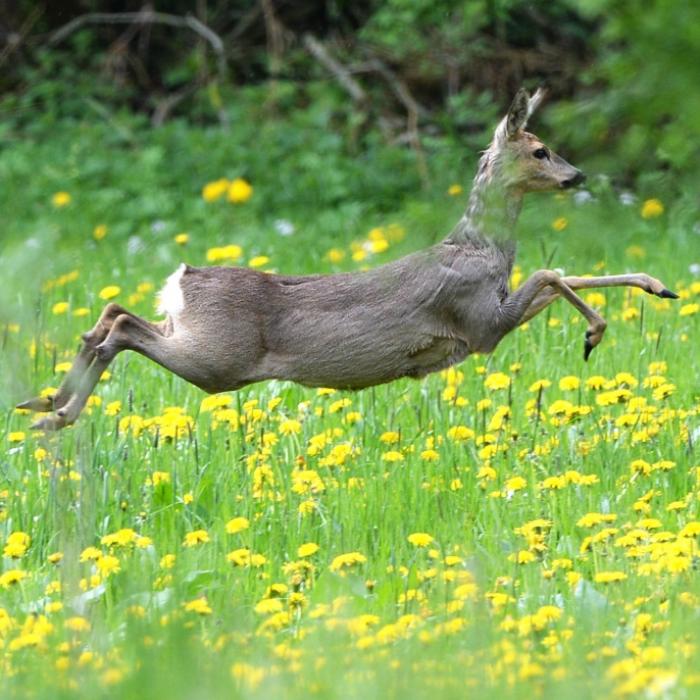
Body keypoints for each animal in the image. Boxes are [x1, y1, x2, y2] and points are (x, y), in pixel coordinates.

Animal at [18, 88, 678, 431]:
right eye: (540, 149)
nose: (577, 175)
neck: (480, 248)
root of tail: (182, 278)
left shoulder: (487, 321)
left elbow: (561, 272)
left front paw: (658, 286)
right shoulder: (480, 324)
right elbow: (551, 272)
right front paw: (597, 331)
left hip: (195, 339)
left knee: (111, 313)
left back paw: (44, 404)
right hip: (218, 359)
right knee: (123, 327)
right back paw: (55, 412)